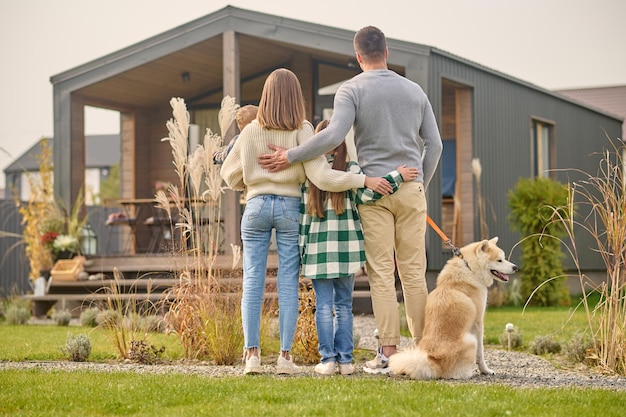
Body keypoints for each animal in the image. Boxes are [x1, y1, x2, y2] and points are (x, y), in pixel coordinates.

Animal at [386, 237, 516, 376]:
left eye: (504, 258)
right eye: (499, 260)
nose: (515, 267)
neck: (470, 269)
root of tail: (432, 360)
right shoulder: (478, 324)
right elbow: (480, 354)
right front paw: (485, 370)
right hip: (471, 340)